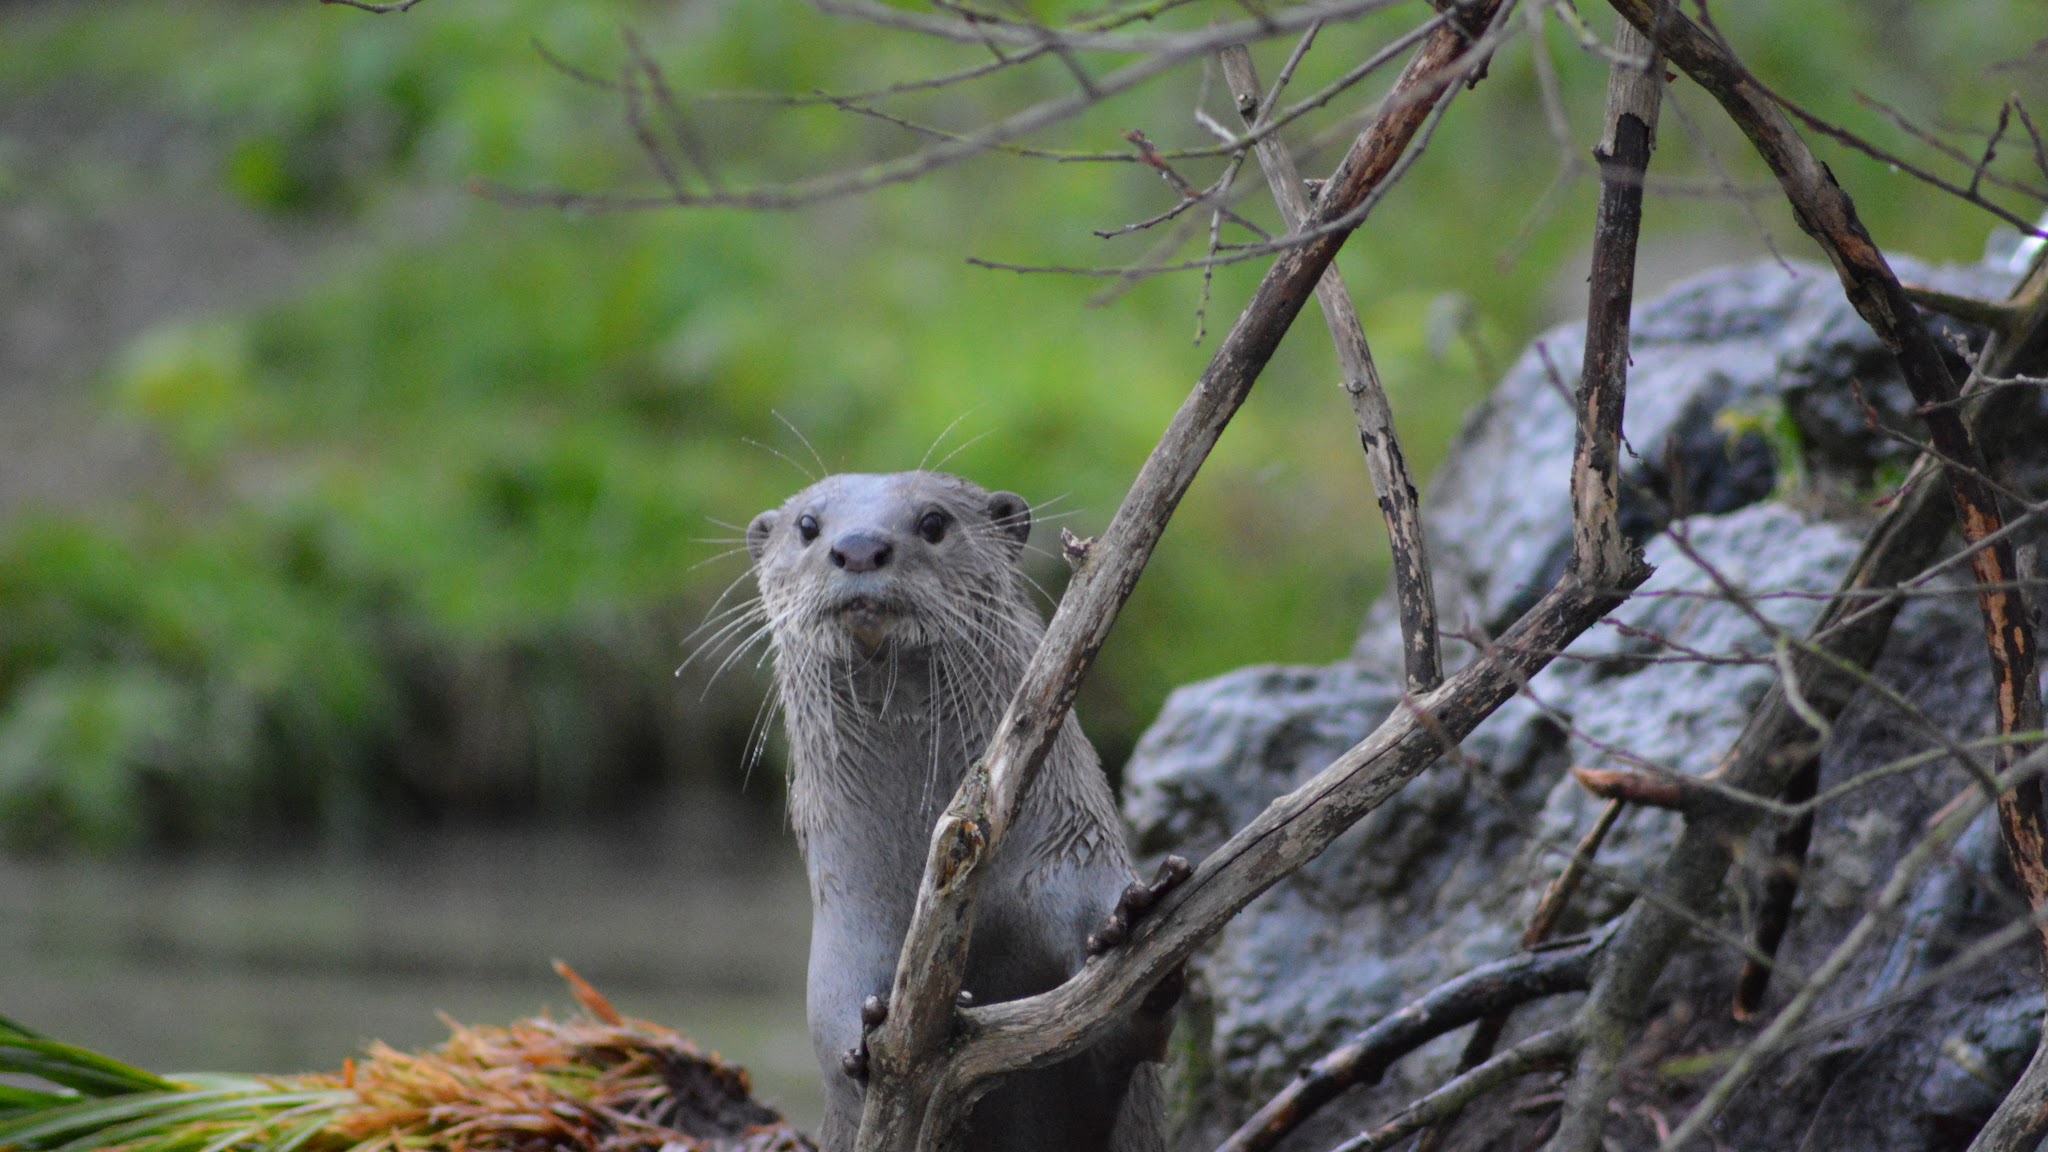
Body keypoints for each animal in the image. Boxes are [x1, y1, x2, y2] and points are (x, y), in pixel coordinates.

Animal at [745, 469, 1179, 1147]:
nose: (860, 547)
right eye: (808, 526)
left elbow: (1125, 1038)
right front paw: (868, 1036)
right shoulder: (846, 930)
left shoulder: (1071, 855)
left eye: (933, 522)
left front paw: (1133, 924)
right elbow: (833, 1023)